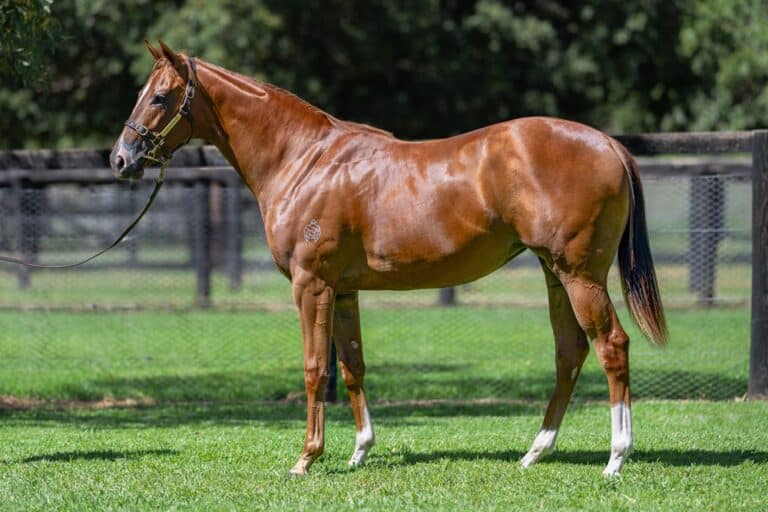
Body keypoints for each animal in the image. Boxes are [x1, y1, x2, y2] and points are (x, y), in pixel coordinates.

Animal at [110, 41, 667, 477]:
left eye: (159, 96)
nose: (121, 159)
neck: (305, 160)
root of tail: (608, 144)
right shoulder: (343, 290)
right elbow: (352, 364)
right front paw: (359, 452)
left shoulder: (311, 284)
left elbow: (315, 367)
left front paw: (307, 458)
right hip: (556, 274)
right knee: (570, 353)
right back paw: (535, 452)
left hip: (580, 276)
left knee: (612, 346)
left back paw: (616, 458)